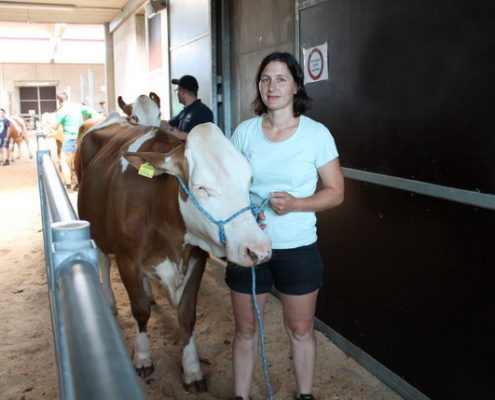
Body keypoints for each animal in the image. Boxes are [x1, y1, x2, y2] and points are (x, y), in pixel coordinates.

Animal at [78, 118, 274, 390]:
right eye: (201, 187)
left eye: (249, 179)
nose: (259, 250)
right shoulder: (128, 261)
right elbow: (140, 310)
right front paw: (143, 357)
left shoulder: (197, 259)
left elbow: (187, 315)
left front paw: (192, 369)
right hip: (94, 226)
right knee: (103, 261)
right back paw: (108, 300)